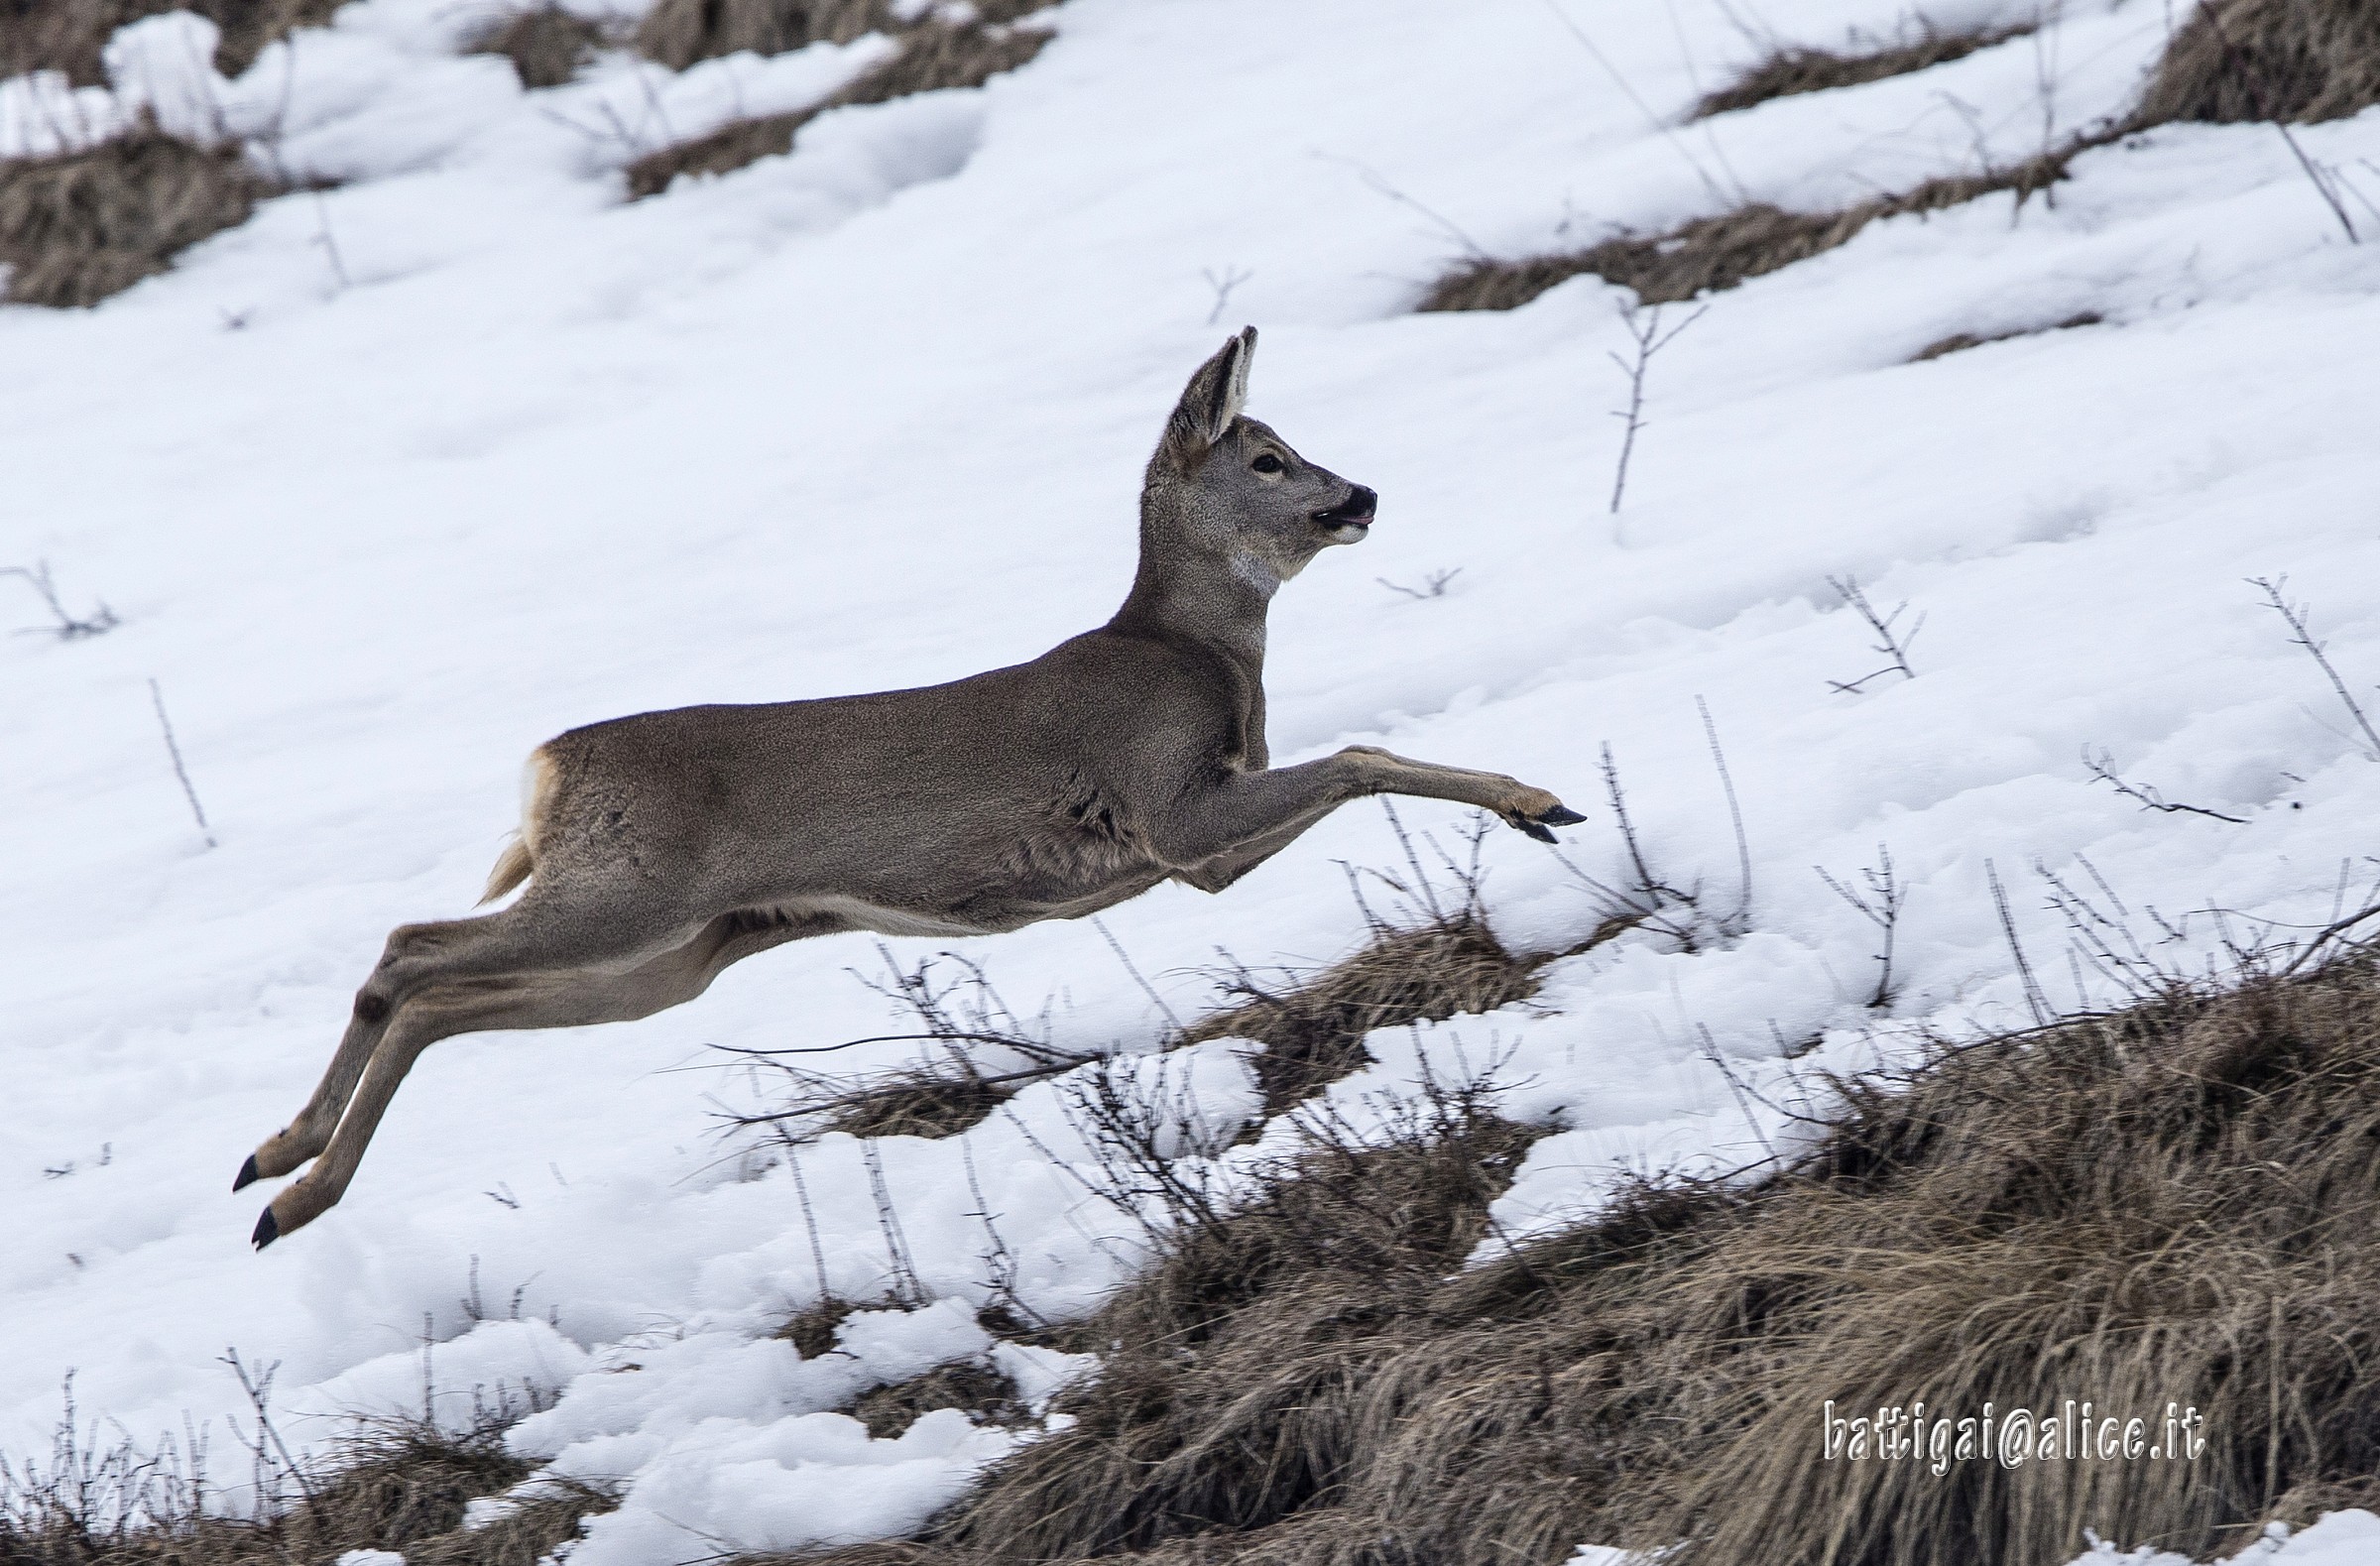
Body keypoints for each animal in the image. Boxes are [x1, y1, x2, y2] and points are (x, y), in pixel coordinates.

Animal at [235, 328, 1584, 1247]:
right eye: (1267, 455)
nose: (1362, 496)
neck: (1191, 654)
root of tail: (548, 764)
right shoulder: (1169, 806)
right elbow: (1361, 756)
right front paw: (1540, 802)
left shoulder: (1191, 849)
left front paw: (1543, 805)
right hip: (628, 895)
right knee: (411, 953)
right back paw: (283, 1168)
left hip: (674, 958)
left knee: (442, 1001)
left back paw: (279, 1187)